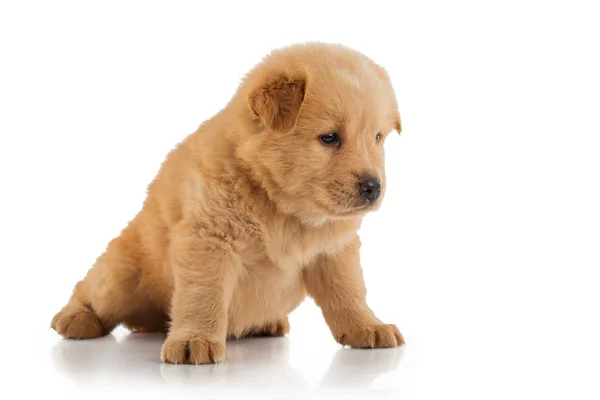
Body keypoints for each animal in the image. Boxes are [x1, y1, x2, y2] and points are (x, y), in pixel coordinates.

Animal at [51, 42, 406, 364]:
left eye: (377, 138)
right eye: (329, 137)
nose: (373, 187)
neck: (283, 207)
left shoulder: (335, 250)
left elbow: (349, 293)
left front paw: (369, 327)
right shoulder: (208, 240)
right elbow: (203, 295)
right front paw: (193, 341)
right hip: (121, 277)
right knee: (89, 290)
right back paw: (73, 319)